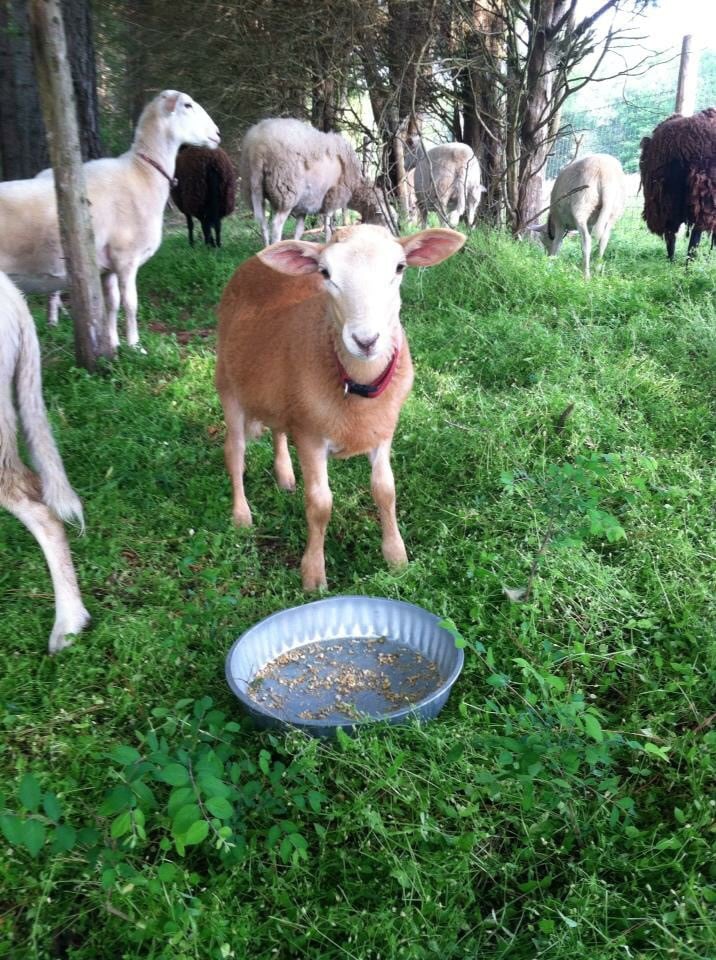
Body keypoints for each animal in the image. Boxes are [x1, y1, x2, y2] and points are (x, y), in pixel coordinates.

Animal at [0, 90, 218, 348]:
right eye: (187, 105)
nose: (217, 134)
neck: (142, 174)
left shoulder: (108, 267)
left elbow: (111, 305)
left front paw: (113, 343)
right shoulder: (126, 257)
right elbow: (131, 303)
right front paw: (135, 346)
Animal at [239, 116, 386, 246]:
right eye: (383, 217)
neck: (355, 186)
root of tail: (258, 148)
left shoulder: (304, 205)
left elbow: (299, 230)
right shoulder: (332, 197)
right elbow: (328, 226)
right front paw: (327, 242)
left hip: (252, 185)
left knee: (262, 222)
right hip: (287, 190)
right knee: (276, 225)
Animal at [636, 110, 716, 260]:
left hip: (664, 193)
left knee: (670, 231)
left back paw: (672, 260)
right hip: (697, 191)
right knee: (696, 230)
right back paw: (689, 263)